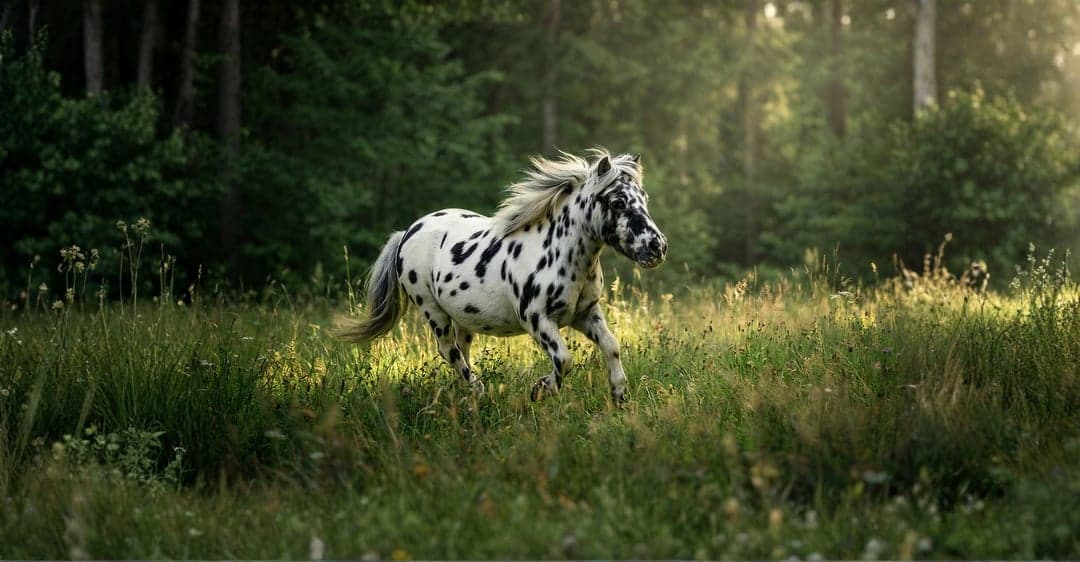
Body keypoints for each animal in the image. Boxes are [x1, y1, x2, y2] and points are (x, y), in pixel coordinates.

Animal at [335, 148, 668, 403]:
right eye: (617, 202)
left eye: (645, 197)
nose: (657, 247)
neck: (560, 254)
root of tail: (408, 232)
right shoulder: (537, 321)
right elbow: (564, 359)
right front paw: (540, 390)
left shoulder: (585, 314)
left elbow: (611, 346)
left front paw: (619, 395)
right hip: (433, 311)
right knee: (449, 351)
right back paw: (479, 391)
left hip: (463, 316)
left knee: (461, 349)